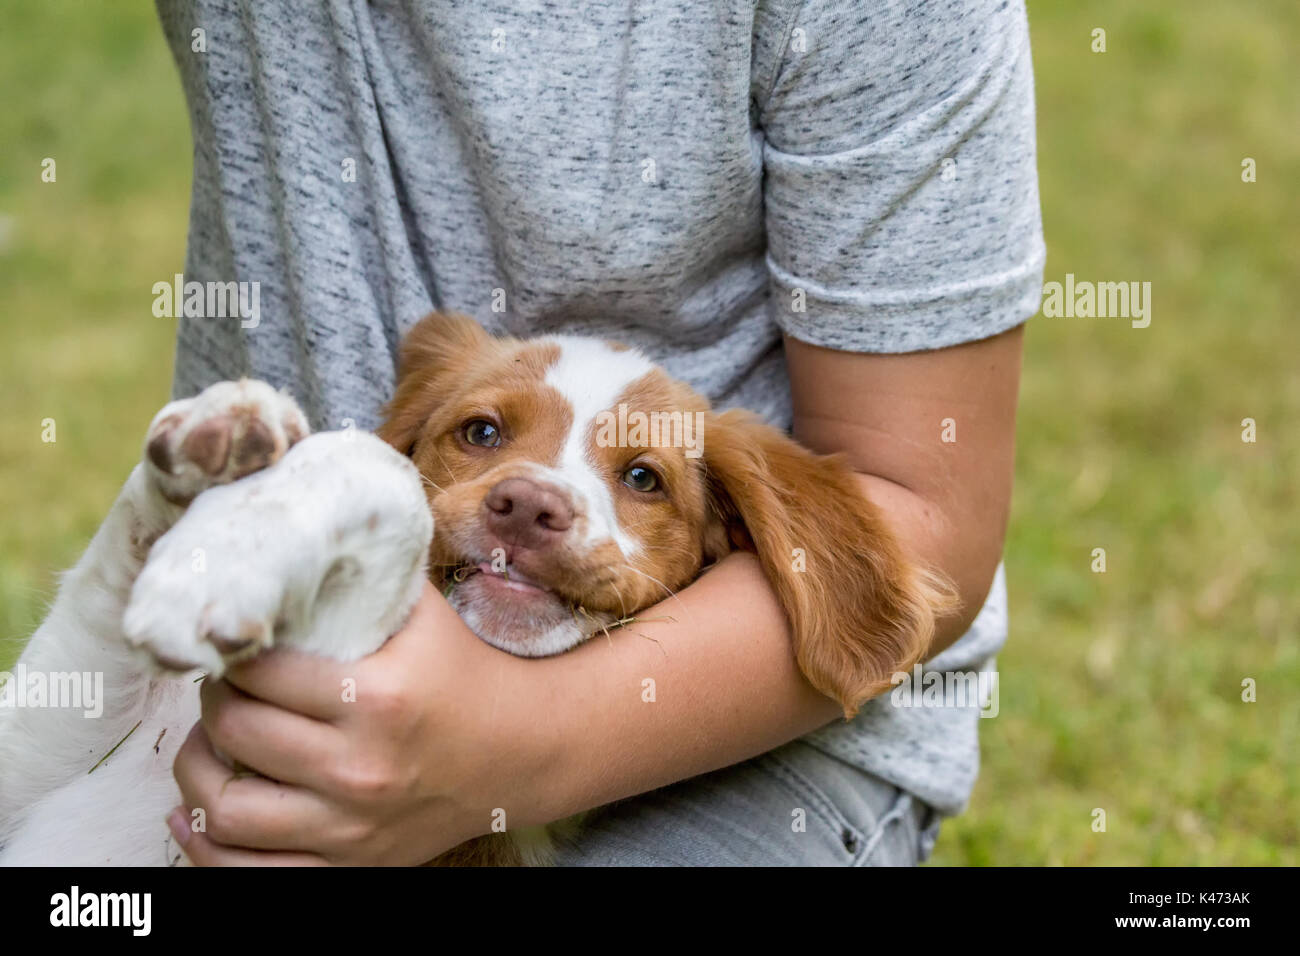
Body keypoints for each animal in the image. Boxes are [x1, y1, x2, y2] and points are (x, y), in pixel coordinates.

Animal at [0, 314, 956, 868]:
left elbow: (381, 474)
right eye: (482, 432)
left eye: (643, 478)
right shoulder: (36, 742)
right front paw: (224, 441)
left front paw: (222, 563)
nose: (529, 506)